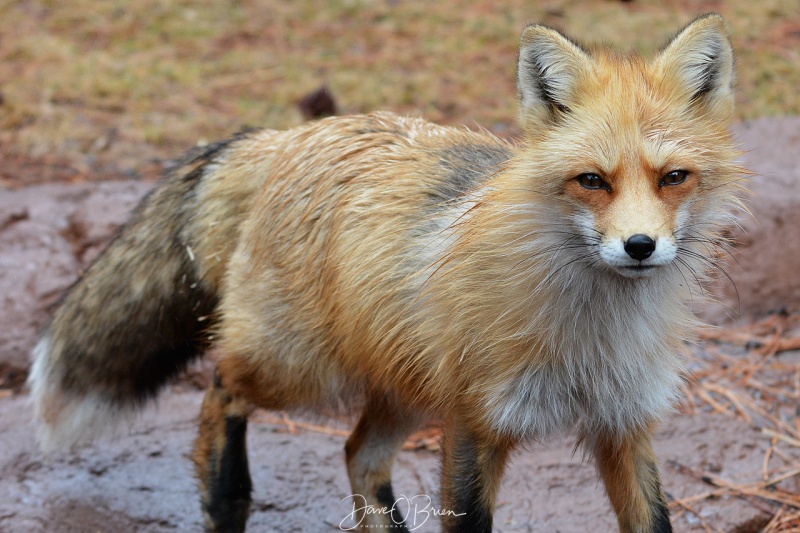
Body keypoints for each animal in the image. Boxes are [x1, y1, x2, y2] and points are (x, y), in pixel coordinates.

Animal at [29, 15, 744, 532]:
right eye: (592, 181)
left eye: (673, 177)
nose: (640, 246)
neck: (591, 335)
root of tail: (282, 136)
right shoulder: (474, 422)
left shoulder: (625, 424)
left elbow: (654, 518)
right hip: (299, 368)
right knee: (222, 388)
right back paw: (226, 498)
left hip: (404, 386)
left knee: (358, 455)